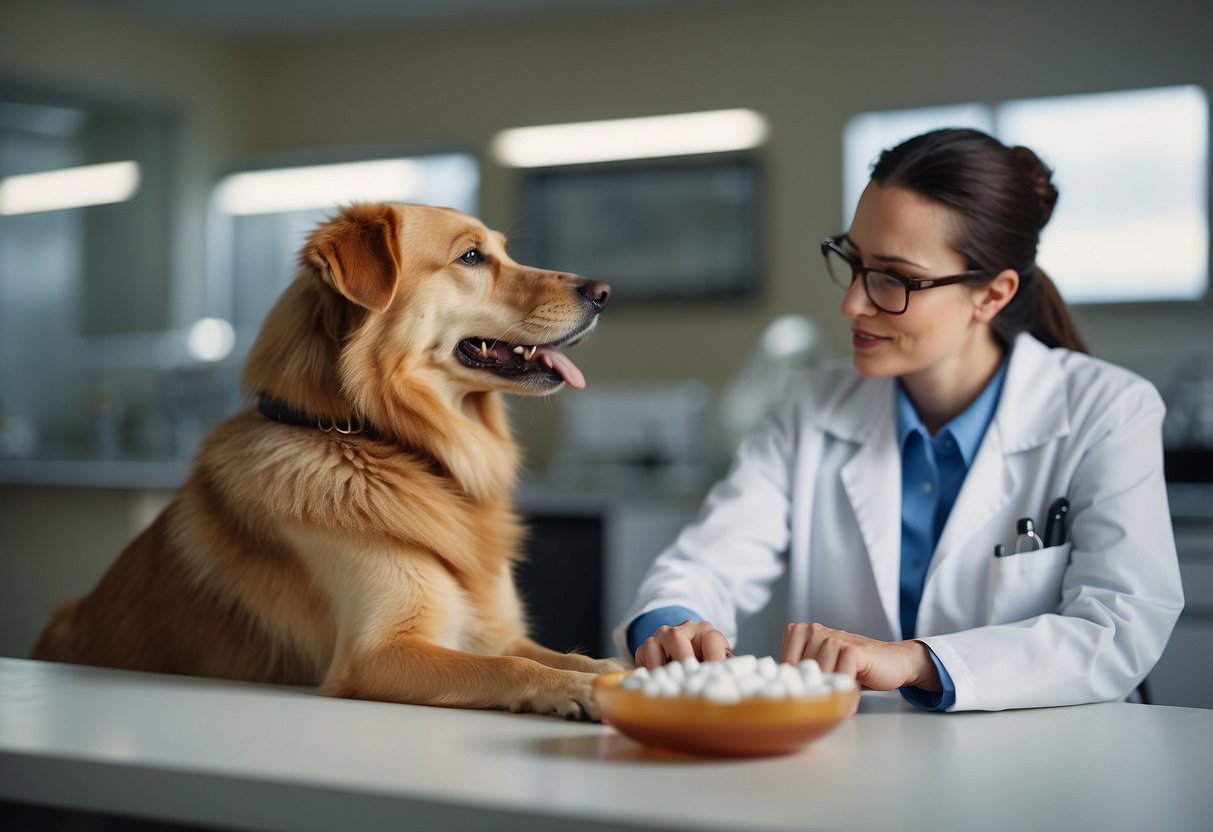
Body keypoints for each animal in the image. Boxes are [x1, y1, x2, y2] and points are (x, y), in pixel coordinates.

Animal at [35, 200, 625, 717]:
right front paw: (577, 689)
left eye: (504, 250)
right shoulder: (376, 654)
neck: (378, 440)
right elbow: (509, 668)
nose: (603, 292)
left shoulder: (498, 631)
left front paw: (609, 668)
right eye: (472, 257)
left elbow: (560, 653)